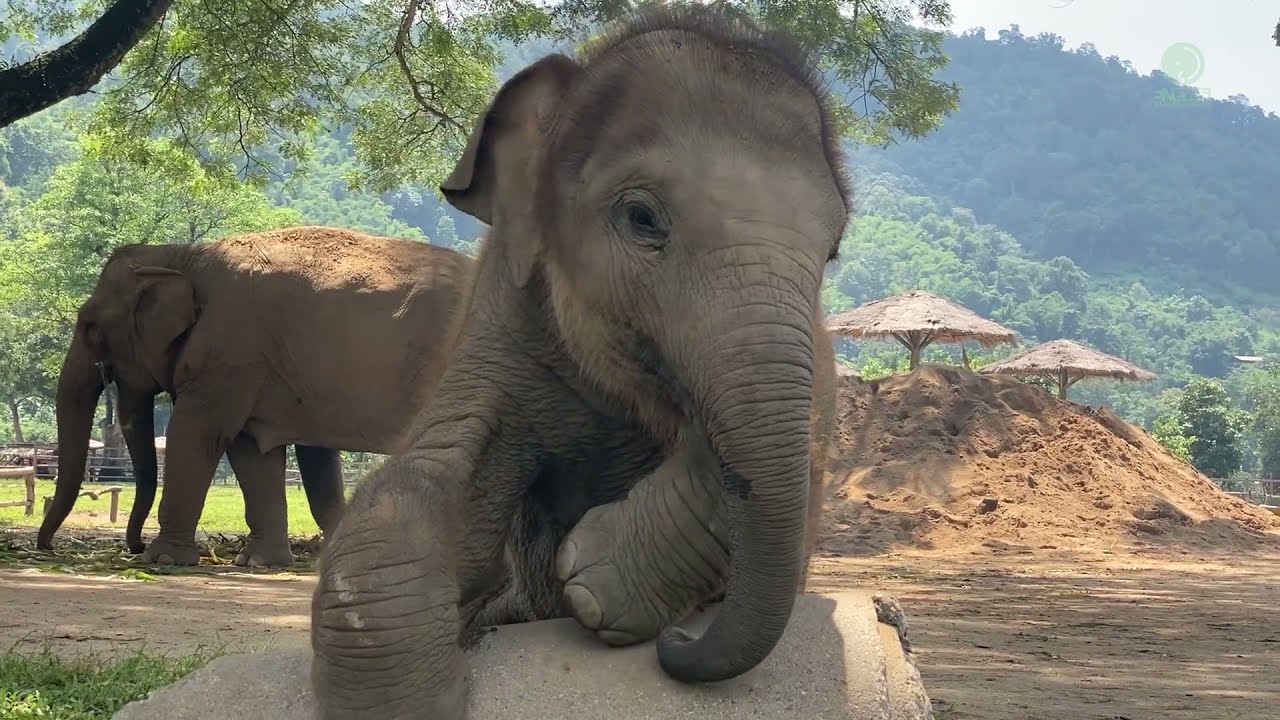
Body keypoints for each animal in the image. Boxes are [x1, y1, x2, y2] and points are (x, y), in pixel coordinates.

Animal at [36, 226, 474, 567]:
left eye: (90, 327)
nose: (47, 549)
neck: (180, 254)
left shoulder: (231, 354)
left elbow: (195, 434)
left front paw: (163, 560)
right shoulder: (265, 370)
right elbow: (255, 453)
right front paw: (262, 562)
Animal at [309, 6, 850, 718]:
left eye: (832, 249)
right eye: (641, 217)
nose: (680, 642)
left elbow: (808, 425)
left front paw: (593, 585)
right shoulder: (500, 319)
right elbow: (423, 488)